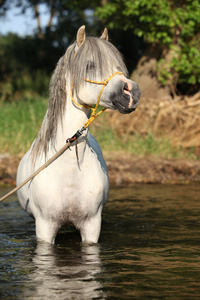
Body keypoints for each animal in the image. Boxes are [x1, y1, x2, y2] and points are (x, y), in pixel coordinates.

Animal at [16, 26, 140, 244]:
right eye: (90, 65)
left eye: (118, 65)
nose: (132, 92)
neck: (69, 170)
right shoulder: (45, 228)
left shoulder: (91, 226)